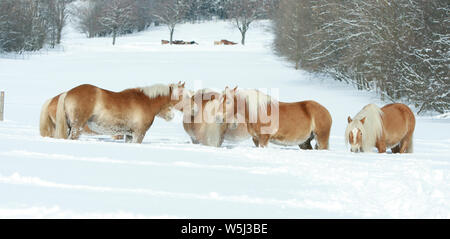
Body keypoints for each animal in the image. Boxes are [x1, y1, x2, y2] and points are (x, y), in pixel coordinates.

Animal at [54, 82, 185, 143]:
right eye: (184, 96)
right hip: (77, 127)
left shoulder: (129, 134)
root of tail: (68, 93)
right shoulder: (139, 134)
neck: (146, 101)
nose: (171, 116)